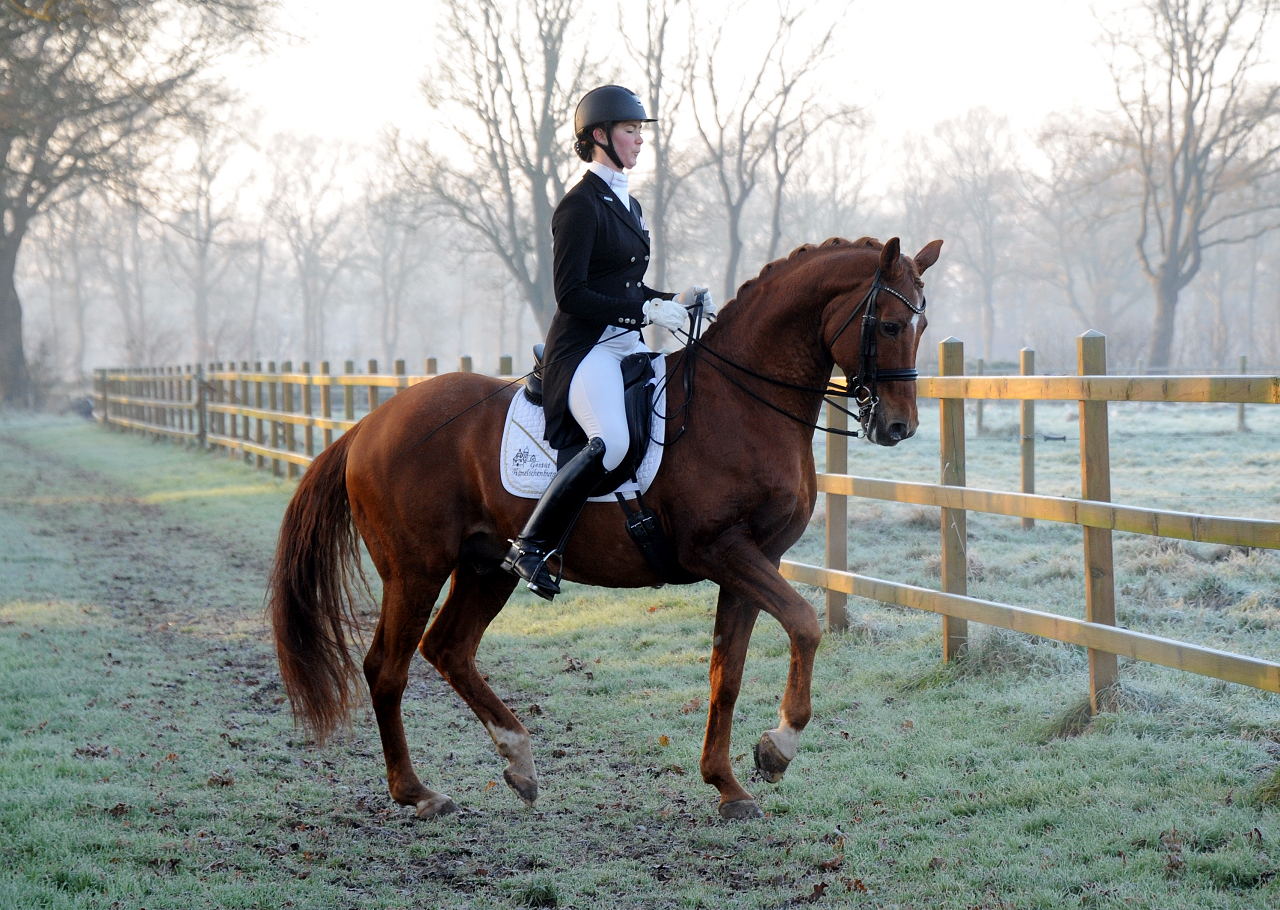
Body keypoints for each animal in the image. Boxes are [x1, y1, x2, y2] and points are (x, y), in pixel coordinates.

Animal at [270, 235, 942, 819]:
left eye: (922, 326)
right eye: (888, 325)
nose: (899, 427)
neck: (741, 401)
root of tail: (371, 423)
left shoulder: (757, 560)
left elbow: (726, 672)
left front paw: (726, 785)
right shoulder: (722, 550)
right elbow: (804, 625)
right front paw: (777, 749)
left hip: (487, 566)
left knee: (448, 648)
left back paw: (518, 760)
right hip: (415, 570)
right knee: (388, 667)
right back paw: (417, 792)